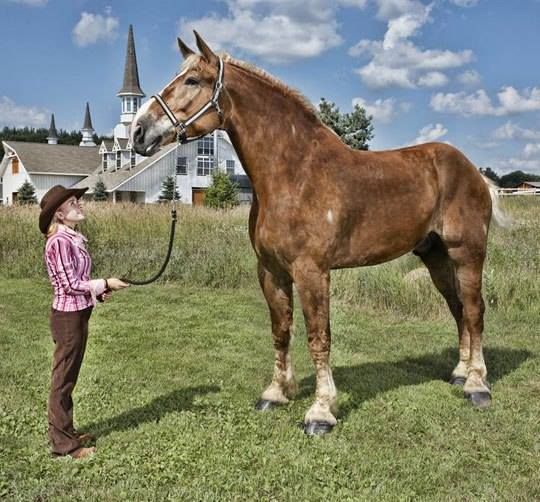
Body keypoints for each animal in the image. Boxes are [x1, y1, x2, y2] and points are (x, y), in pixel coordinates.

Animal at [132, 33, 506, 436]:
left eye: (192, 81)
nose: (138, 131)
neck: (295, 174)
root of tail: (474, 172)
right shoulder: (271, 271)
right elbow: (281, 330)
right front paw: (275, 393)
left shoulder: (312, 271)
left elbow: (318, 336)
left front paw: (321, 411)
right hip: (436, 256)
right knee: (457, 309)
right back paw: (460, 373)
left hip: (468, 253)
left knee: (474, 310)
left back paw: (477, 385)